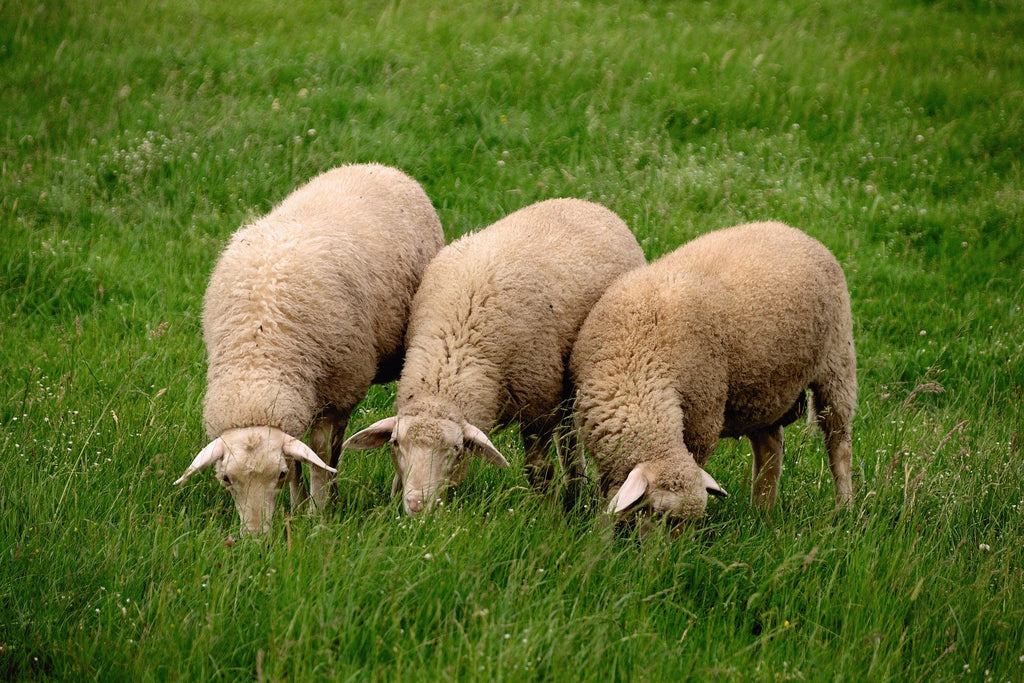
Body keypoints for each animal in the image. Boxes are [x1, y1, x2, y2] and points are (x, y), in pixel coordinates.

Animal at [174, 163, 444, 535]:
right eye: (226, 479)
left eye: (277, 475)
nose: (255, 538)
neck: (258, 359)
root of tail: (378, 167)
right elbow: (302, 458)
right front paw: (299, 507)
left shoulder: (337, 394)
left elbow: (317, 457)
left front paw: (317, 515)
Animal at [342, 198, 647, 515]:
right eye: (394, 444)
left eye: (456, 449)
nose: (417, 506)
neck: (453, 353)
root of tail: (583, 202)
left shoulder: (538, 406)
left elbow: (539, 470)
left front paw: (548, 516)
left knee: (568, 437)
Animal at [569, 221, 856, 524]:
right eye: (655, 512)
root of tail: (792, 230)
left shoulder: (703, 420)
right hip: (764, 390)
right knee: (770, 449)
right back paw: (761, 514)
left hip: (838, 364)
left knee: (839, 444)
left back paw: (845, 508)